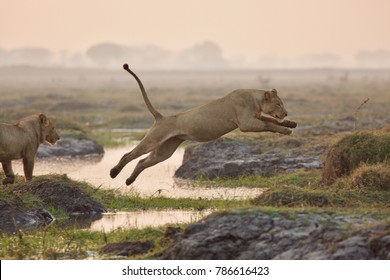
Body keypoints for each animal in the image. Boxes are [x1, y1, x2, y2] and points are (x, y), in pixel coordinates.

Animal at [111, 64, 298, 185]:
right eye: (279, 104)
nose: (286, 113)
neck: (256, 99)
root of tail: (161, 117)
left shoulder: (256, 117)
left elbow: (270, 120)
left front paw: (291, 123)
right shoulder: (245, 123)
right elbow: (269, 125)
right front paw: (285, 130)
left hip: (165, 150)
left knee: (142, 162)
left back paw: (129, 181)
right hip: (153, 139)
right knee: (129, 155)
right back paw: (114, 172)